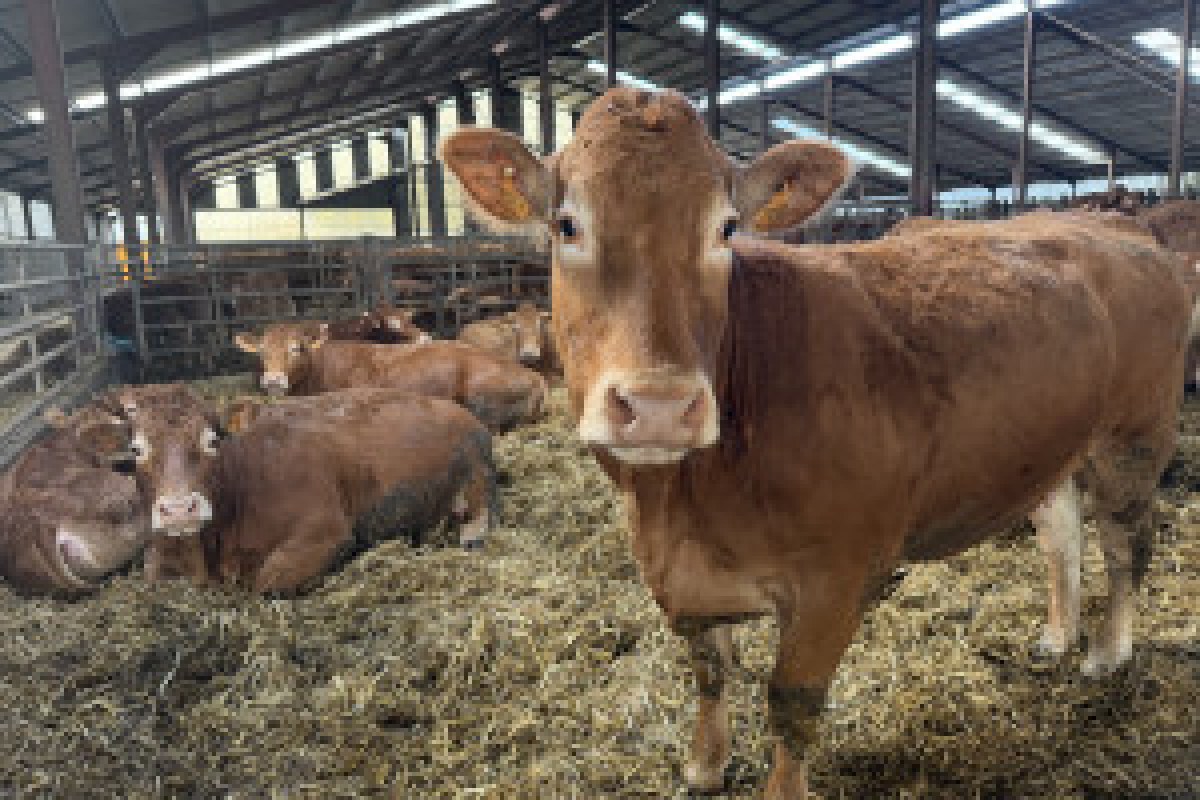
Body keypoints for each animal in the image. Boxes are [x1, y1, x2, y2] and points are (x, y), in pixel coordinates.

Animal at [117, 386, 495, 592]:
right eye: (136, 449)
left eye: (213, 441)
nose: (180, 509)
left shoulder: (325, 530)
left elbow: (267, 581)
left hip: (476, 471)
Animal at [441, 87, 1193, 798]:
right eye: (568, 224)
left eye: (726, 228)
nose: (659, 407)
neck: (677, 502)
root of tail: (1114, 224)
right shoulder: (681, 580)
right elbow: (709, 671)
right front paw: (704, 766)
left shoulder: (837, 578)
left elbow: (792, 704)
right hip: (1049, 443)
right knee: (1061, 534)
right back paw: (1057, 636)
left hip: (1134, 436)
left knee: (1126, 546)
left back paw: (1106, 652)